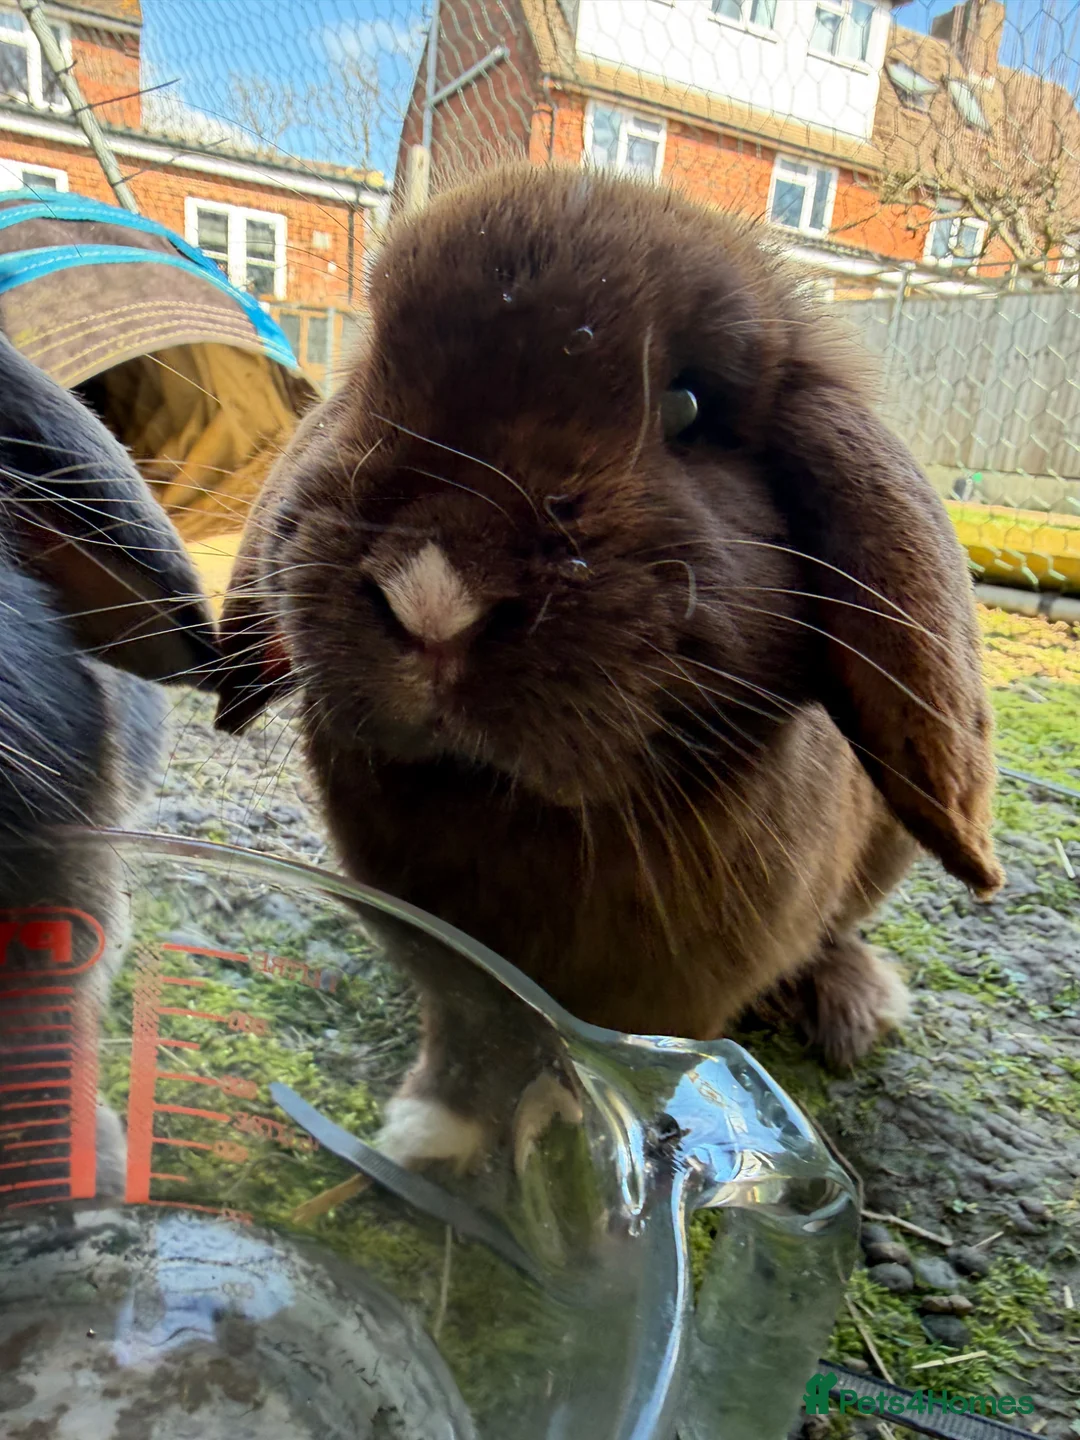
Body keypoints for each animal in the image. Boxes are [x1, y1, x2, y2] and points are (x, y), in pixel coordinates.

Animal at [213, 165, 1003, 1174]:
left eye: (690, 409)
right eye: (365, 387)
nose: (433, 596)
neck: (511, 806)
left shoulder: (683, 991)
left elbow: (625, 1062)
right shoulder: (444, 966)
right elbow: (468, 1036)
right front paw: (429, 1135)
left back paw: (848, 1004)